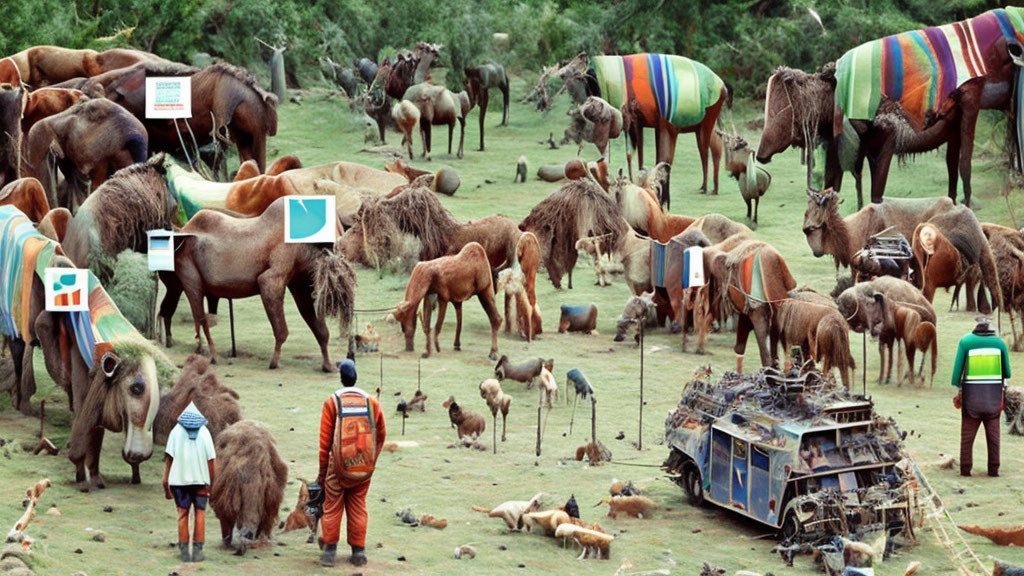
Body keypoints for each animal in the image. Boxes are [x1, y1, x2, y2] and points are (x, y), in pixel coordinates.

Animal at [156, 194, 356, 368]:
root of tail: (182, 231)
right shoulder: (273, 276)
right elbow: (282, 330)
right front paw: (274, 362)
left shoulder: (300, 282)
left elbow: (320, 329)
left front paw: (328, 366)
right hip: (188, 270)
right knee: (199, 316)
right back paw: (212, 356)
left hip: (178, 282)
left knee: (182, 313)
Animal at [757, 6, 1024, 206]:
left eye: (785, 112)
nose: (760, 155)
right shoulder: (850, 146)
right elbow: (837, 188)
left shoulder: (887, 136)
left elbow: (876, 195)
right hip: (955, 124)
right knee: (952, 164)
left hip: (972, 100)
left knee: (965, 163)